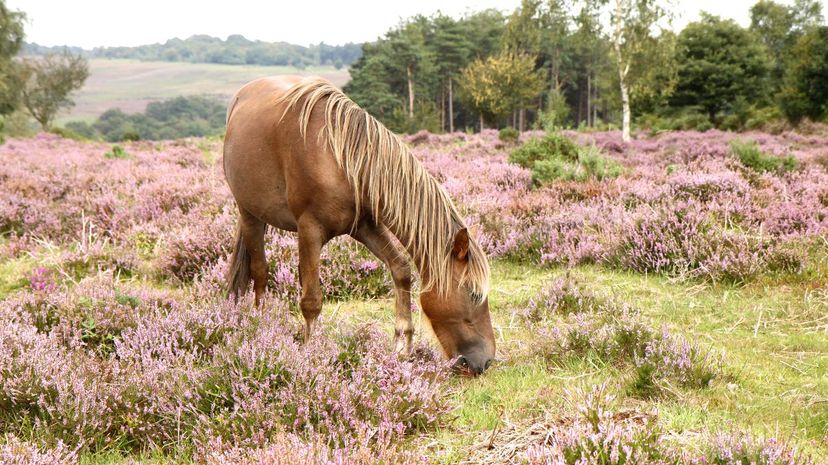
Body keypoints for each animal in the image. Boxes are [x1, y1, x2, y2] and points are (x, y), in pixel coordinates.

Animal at [223, 75, 494, 374]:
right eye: (473, 294)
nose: (485, 361)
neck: (343, 158)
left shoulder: (366, 226)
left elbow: (400, 268)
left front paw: (402, 346)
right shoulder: (310, 230)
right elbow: (311, 301)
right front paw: (309, 355)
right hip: (249, 213)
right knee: (259, 272)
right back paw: (261, 328)